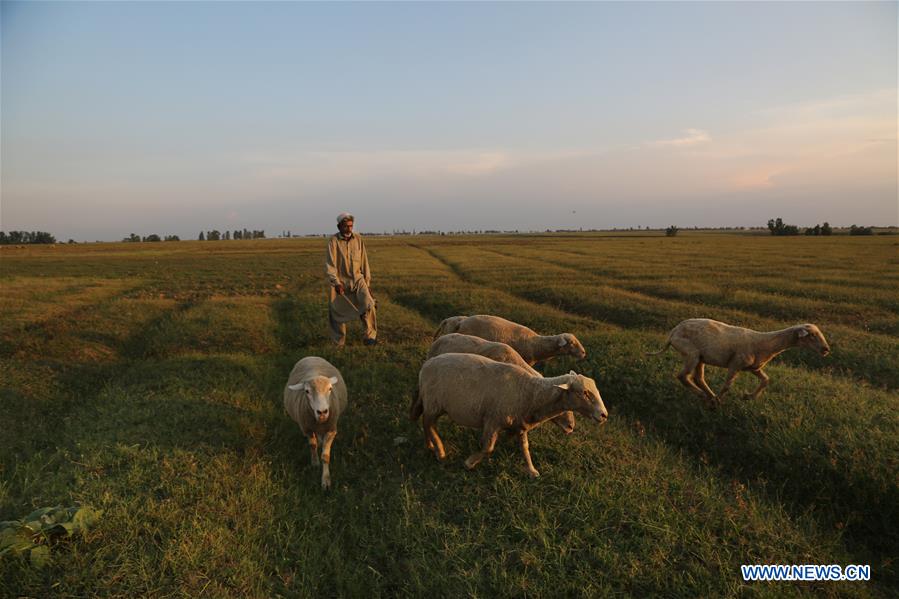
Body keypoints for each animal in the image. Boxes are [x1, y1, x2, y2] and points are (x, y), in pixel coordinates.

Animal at [284, 358, 348, 490]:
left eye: (330, 389)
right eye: (307, 391)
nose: (322, 412)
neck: (320, 423)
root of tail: (310, 356)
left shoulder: (331, 430)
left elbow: (325, 456)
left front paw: (326, 481)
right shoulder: (307, 428)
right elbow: (312, 446)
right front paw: (315, 463)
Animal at [410, 356, 608, 478]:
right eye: (584, 393)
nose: (604, 415)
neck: (530, 393)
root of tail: (426, 365)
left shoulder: (520, 425)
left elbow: (525, 448)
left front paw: (532, 470)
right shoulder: (492, 420)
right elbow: (488, 448)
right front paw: (469, 463)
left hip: (433, 404)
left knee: (427, 423)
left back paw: (431, 446)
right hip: (433, 402)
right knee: (428, 422)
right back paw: (440, 451)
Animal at [648, 318, 828, 408]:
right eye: (812, 335)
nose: (826, 350)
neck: (764, 344)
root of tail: (673, 332)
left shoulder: (754, 367)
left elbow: (766, 380)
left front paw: (748, 396)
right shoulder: (736, 363)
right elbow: (728, 385)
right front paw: (718, 402)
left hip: (700, 357)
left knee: (698, 378)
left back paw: (708, 395)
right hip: (690, 352)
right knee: (683, 376)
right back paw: (706, 396)